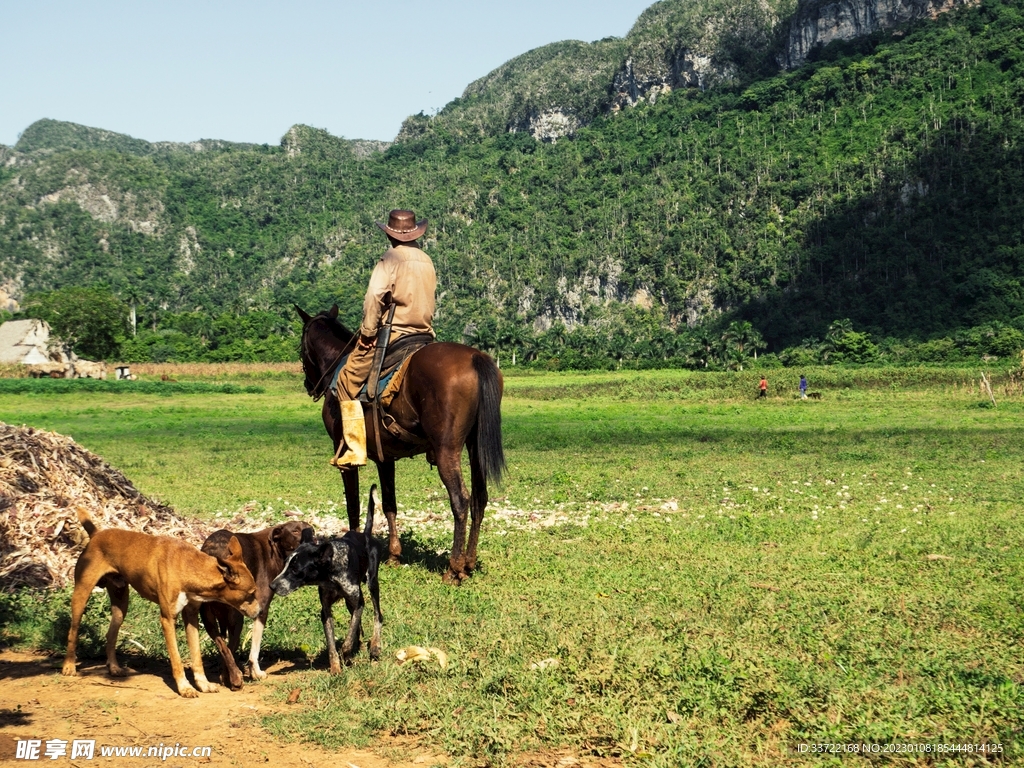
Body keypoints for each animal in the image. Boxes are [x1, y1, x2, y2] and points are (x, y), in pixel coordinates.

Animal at [295, 305, 506, 584]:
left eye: (301, 347)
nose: (309, 385)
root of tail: (475, 357)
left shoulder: (345, 456)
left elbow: (353, 504)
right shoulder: (385, 458)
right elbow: (389, 504)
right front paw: (394, 555)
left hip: (447, 451)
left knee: (460, 500)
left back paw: (454, 568)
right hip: (475, 448)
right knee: (479, 499)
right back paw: (468, 563)